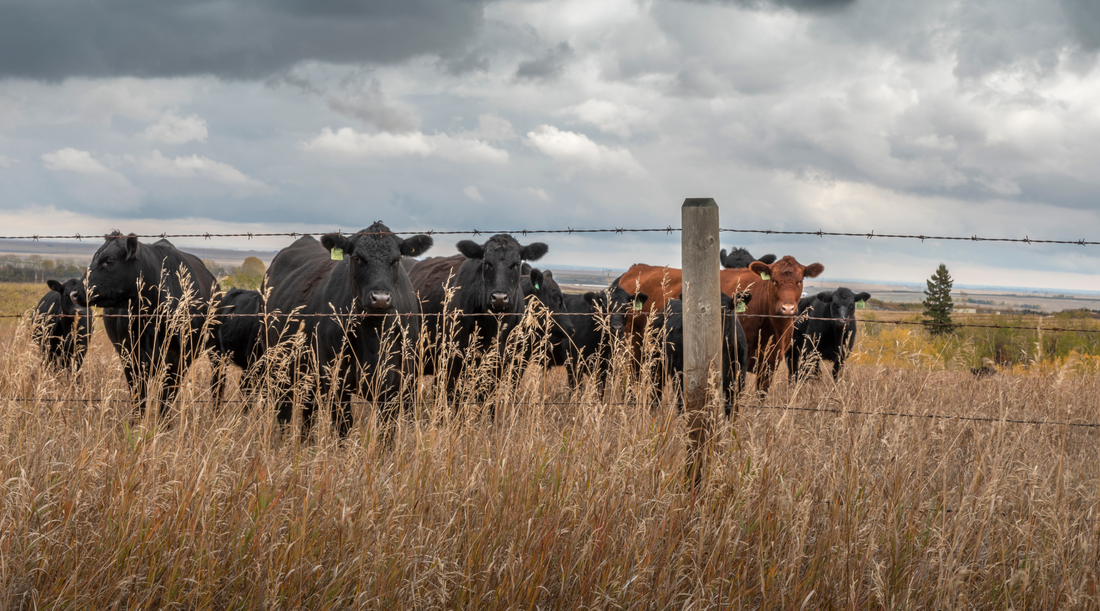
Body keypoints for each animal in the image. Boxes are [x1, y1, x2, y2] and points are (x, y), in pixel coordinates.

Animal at [77, 232, 218, 418]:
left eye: (109, 260)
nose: (75, 292)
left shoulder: (178, 359)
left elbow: (166, 401)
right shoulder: (131, 357)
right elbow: (139, 400)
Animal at [264, 222, 431, 438]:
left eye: (396, 259)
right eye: (357, 258)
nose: (381, 298)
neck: (373, 336)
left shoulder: (396, 385)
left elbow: (387, 432)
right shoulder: (337, 382)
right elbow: (344, 427)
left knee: (308, 412)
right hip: (279, 366)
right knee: (285, 411)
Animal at [409, 236, 550, 405]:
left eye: (516, 264)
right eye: (486, 263)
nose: (500, 298)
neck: (494, 326)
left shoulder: (501, 364)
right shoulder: (454, 360)